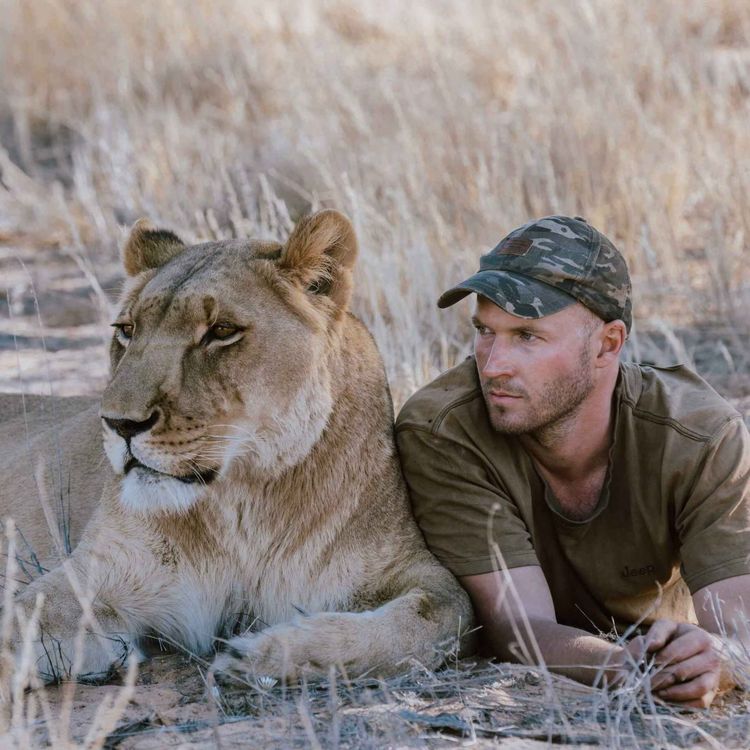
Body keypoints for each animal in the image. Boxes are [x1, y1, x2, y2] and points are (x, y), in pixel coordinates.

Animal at [0, 209, 473, 684]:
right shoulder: (87, 580)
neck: (244, 506)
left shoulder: (418, 571)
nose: (119, 423)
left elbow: (433, 620)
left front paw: (262, 654)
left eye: (221, 331)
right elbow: (12, 636)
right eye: (126, 331)